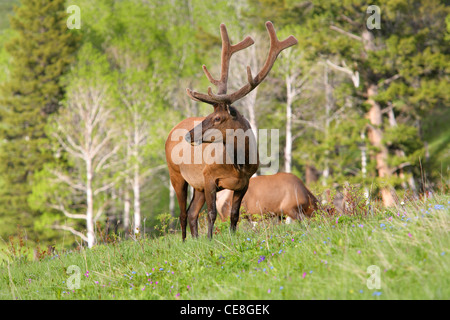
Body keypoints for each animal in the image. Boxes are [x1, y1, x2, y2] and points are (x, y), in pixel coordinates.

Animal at [163, 21, 298, 240]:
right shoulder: (208, 176)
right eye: (209, 114)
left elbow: (234, 215)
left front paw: (230, 236)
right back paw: (184, 242)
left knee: (191, 213)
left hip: (197, 185)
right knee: (183, 214)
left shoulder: (244, 183)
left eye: (217, 118)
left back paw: (194, 240)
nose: (188, 134)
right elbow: (211, 213)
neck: (239, 163)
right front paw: (210, 240)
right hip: (175, 173)